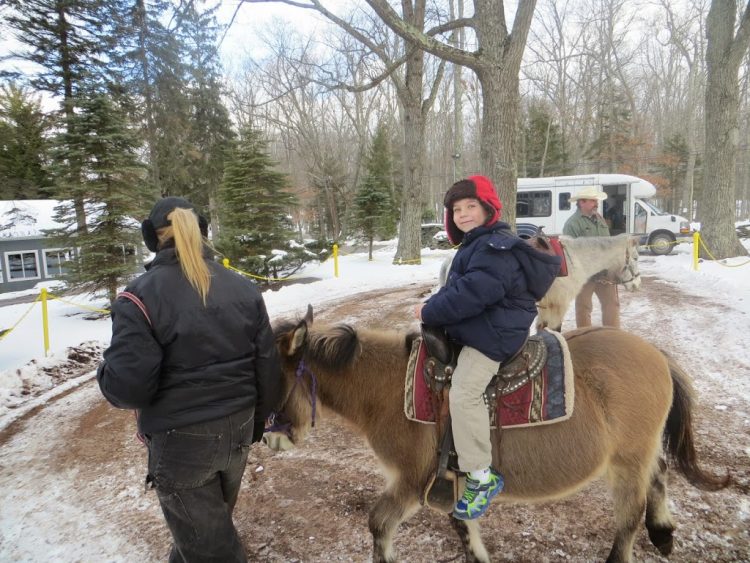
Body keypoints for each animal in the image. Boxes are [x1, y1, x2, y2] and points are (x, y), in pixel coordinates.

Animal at [267, 306, 728, 563]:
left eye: (266, 379)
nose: (271, 440)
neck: (388, 387)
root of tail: (654, 353)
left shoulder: (412, 480)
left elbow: (379, 523)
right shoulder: (453, 480)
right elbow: (462, 526)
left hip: (627, 460)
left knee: (629, 517)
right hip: (636, 452)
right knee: (660, 471)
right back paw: (663, 531)